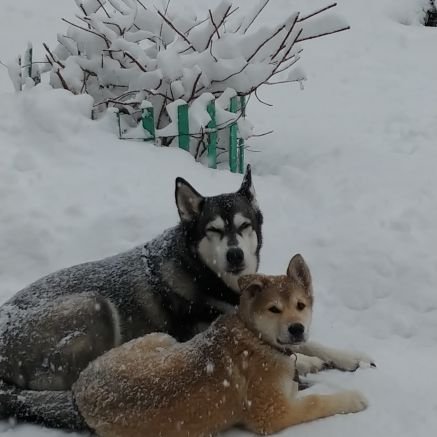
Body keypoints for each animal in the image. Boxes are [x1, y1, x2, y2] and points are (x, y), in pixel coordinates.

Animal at [73, 254, 370, 434]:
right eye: (274, 309)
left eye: (300, 305)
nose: (296, 328)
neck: (255, 337)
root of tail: (81, 383)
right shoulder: (272, 413)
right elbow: (316, 401)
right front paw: (352, 397)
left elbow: (308, 345)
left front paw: (347, 357)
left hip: (162, 339)